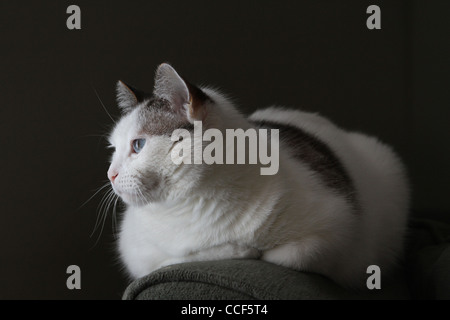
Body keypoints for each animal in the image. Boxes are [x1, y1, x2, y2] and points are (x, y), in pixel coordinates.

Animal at [107, 62, 410, 288]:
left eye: (138, 145)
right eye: (113, 149)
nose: (110, 174)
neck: (191, 205)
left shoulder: (341, 228)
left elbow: (288, 255)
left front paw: (251, 250)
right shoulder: (135, 251)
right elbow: (169, 261)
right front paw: (236, 249)